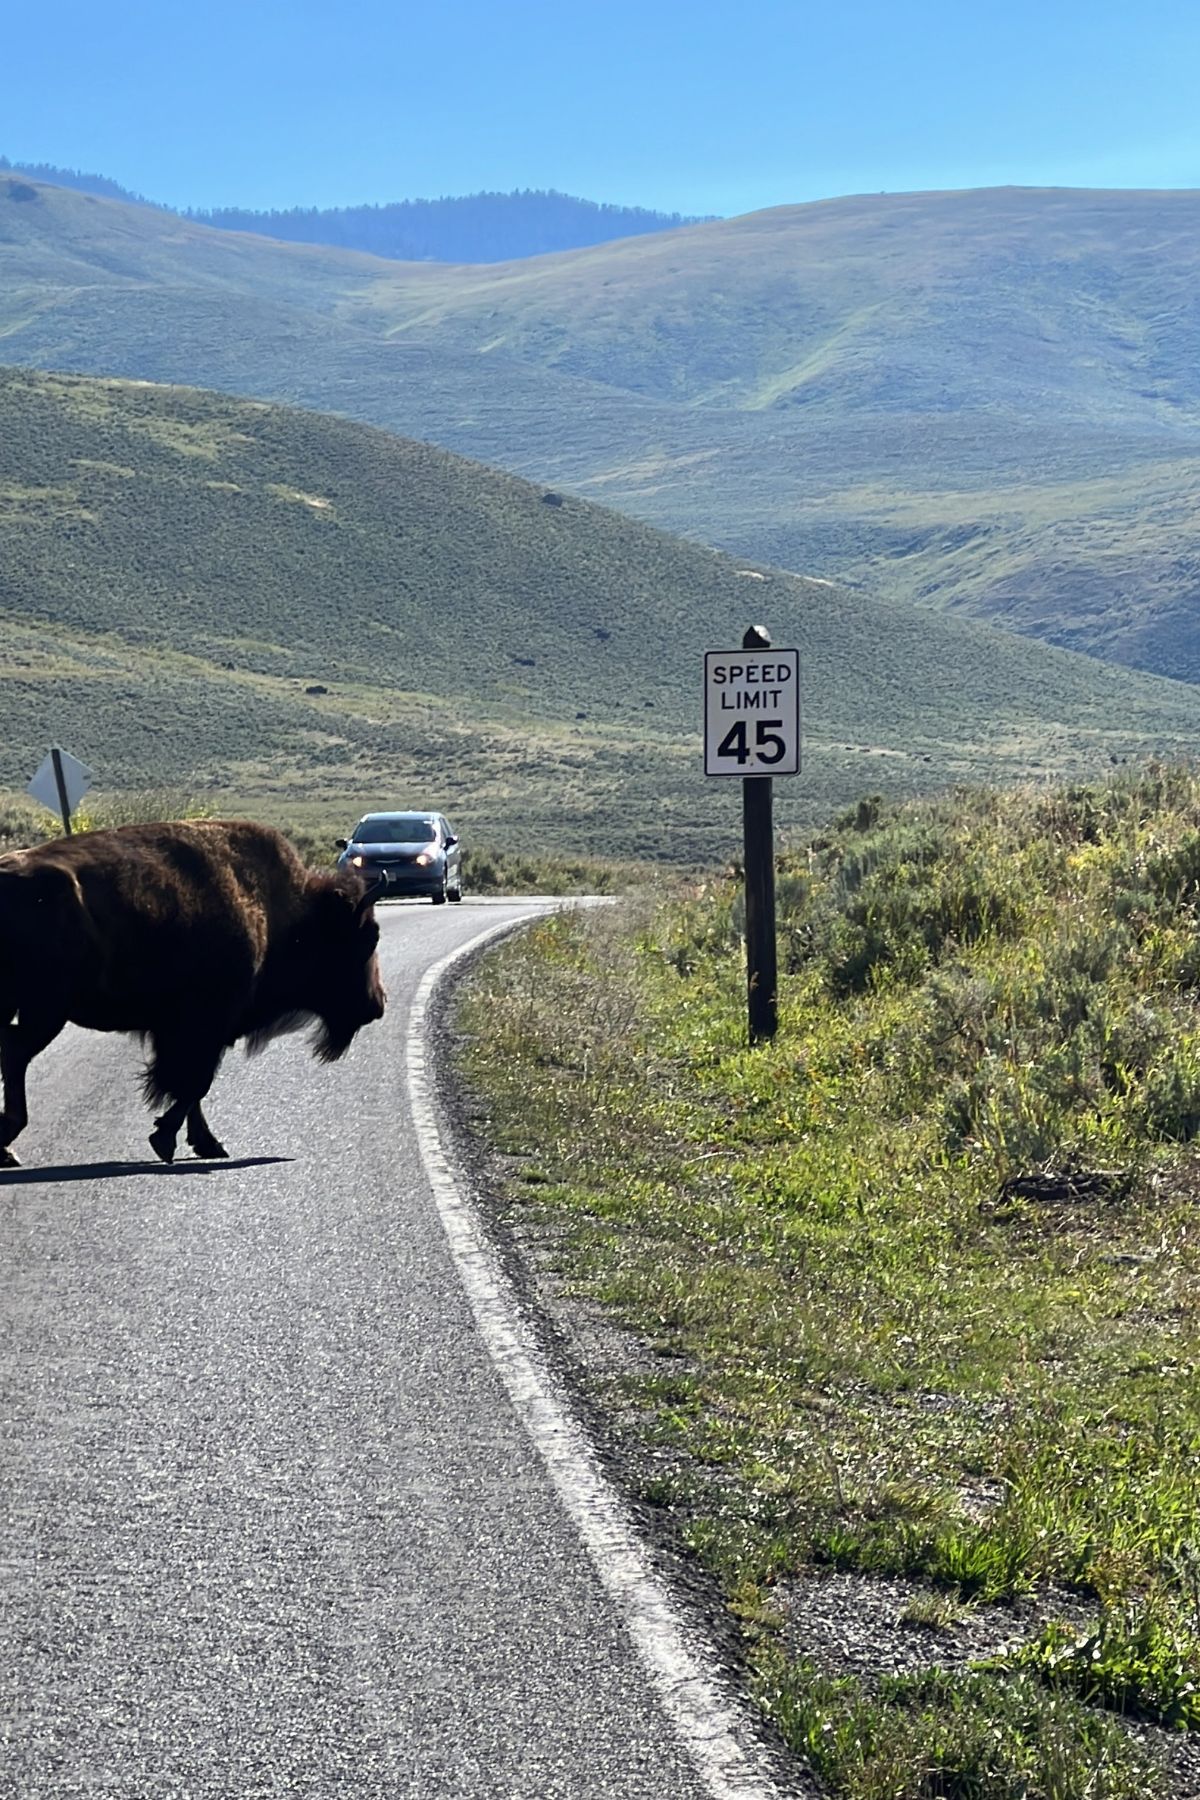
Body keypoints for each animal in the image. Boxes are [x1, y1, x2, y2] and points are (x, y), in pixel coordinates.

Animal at [0, 819, 387, 1166]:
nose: (378, 1005)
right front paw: (165, 1139)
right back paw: (9, 1140)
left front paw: (205, 1143)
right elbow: (193, 1084)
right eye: (369, 937)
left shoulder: (192, 1031)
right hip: (46, 1009)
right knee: (17, 1052)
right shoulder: (205, 1024)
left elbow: (191, 1087)